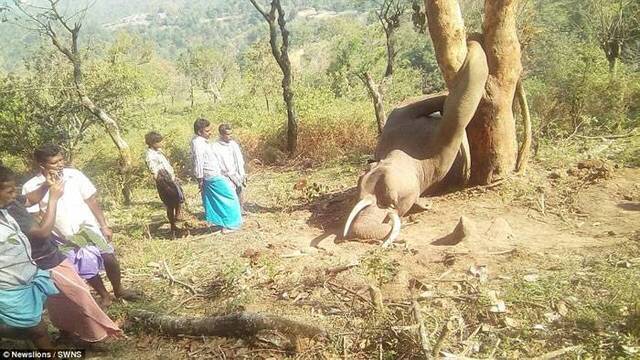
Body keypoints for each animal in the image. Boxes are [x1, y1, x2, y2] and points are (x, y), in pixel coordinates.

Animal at [342, 40, 488, 246]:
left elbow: (452, 111)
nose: (408, 221)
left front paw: (473, 45)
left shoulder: (409, 126)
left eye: (392, 201)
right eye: (358, 195)